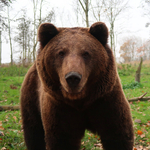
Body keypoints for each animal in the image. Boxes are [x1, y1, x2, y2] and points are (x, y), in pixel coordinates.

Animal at [20, 21, 134, 149]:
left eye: (86, 53)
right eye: (61, 53)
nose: (73, 77)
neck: (80, 101)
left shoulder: (105, 100)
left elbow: (118, 135)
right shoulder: (60, 108)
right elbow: (62, 140)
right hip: (31, 97)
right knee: (34, 132)